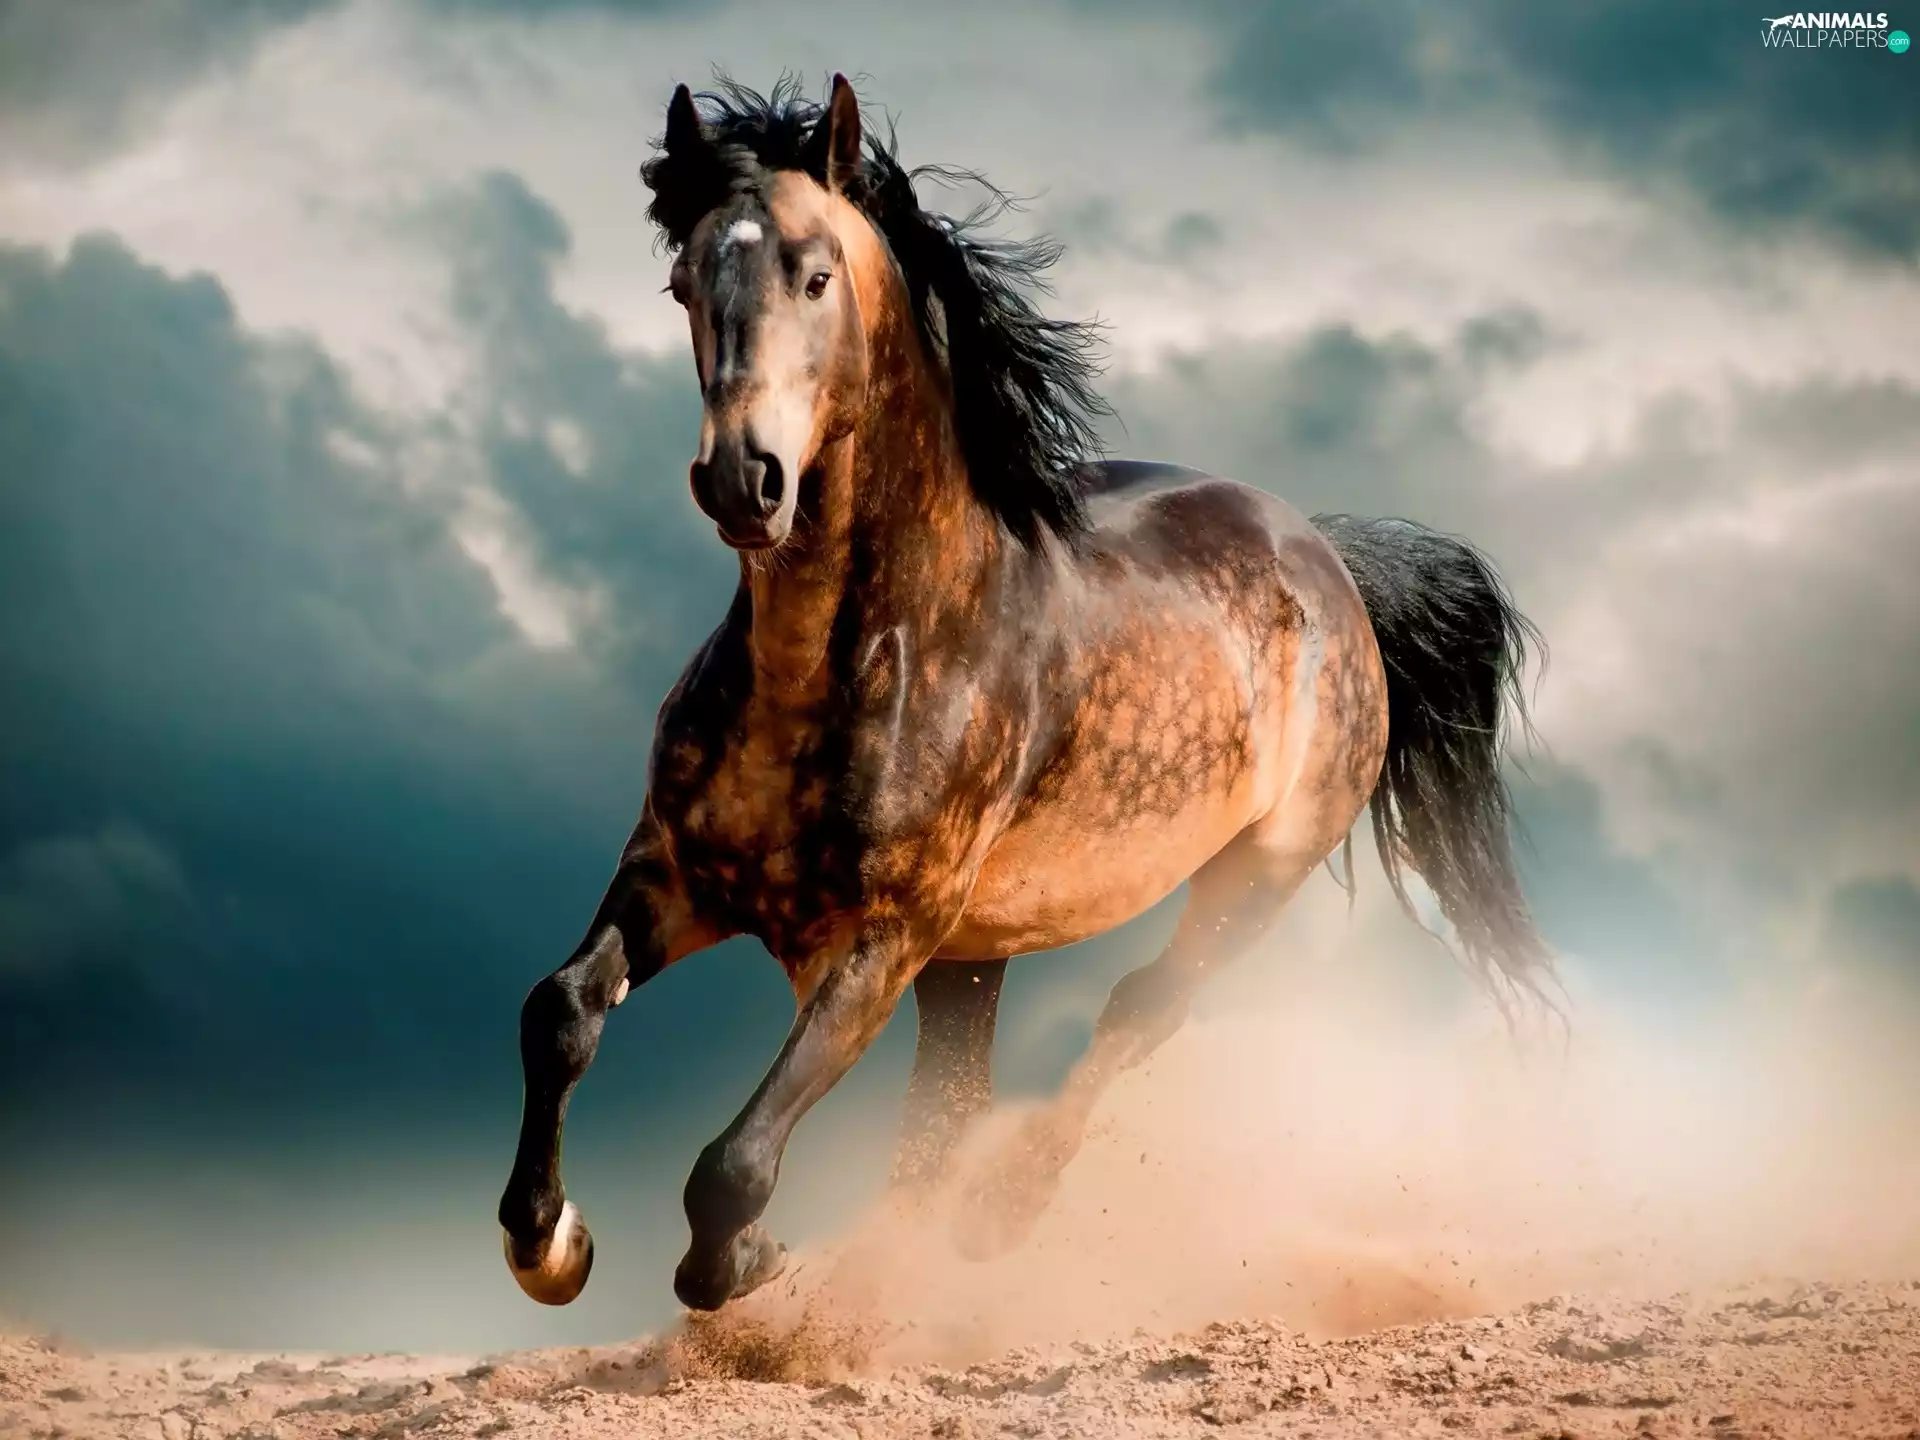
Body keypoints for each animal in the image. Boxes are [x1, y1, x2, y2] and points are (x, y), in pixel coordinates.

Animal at [497, 74, 1551, 1314]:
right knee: (947, 1111)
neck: (843, 666)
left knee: (1137, 1011)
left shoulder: (883, 939)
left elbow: (734, 1164)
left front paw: (745, 1263)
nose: (742, 481)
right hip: (976, 957)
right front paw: (549, 1244)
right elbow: (560, 1012)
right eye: (682, 283)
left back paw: (998, 1216)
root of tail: (1331, 560)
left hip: (1253, 877)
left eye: (815, 274)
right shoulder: (674, 875)